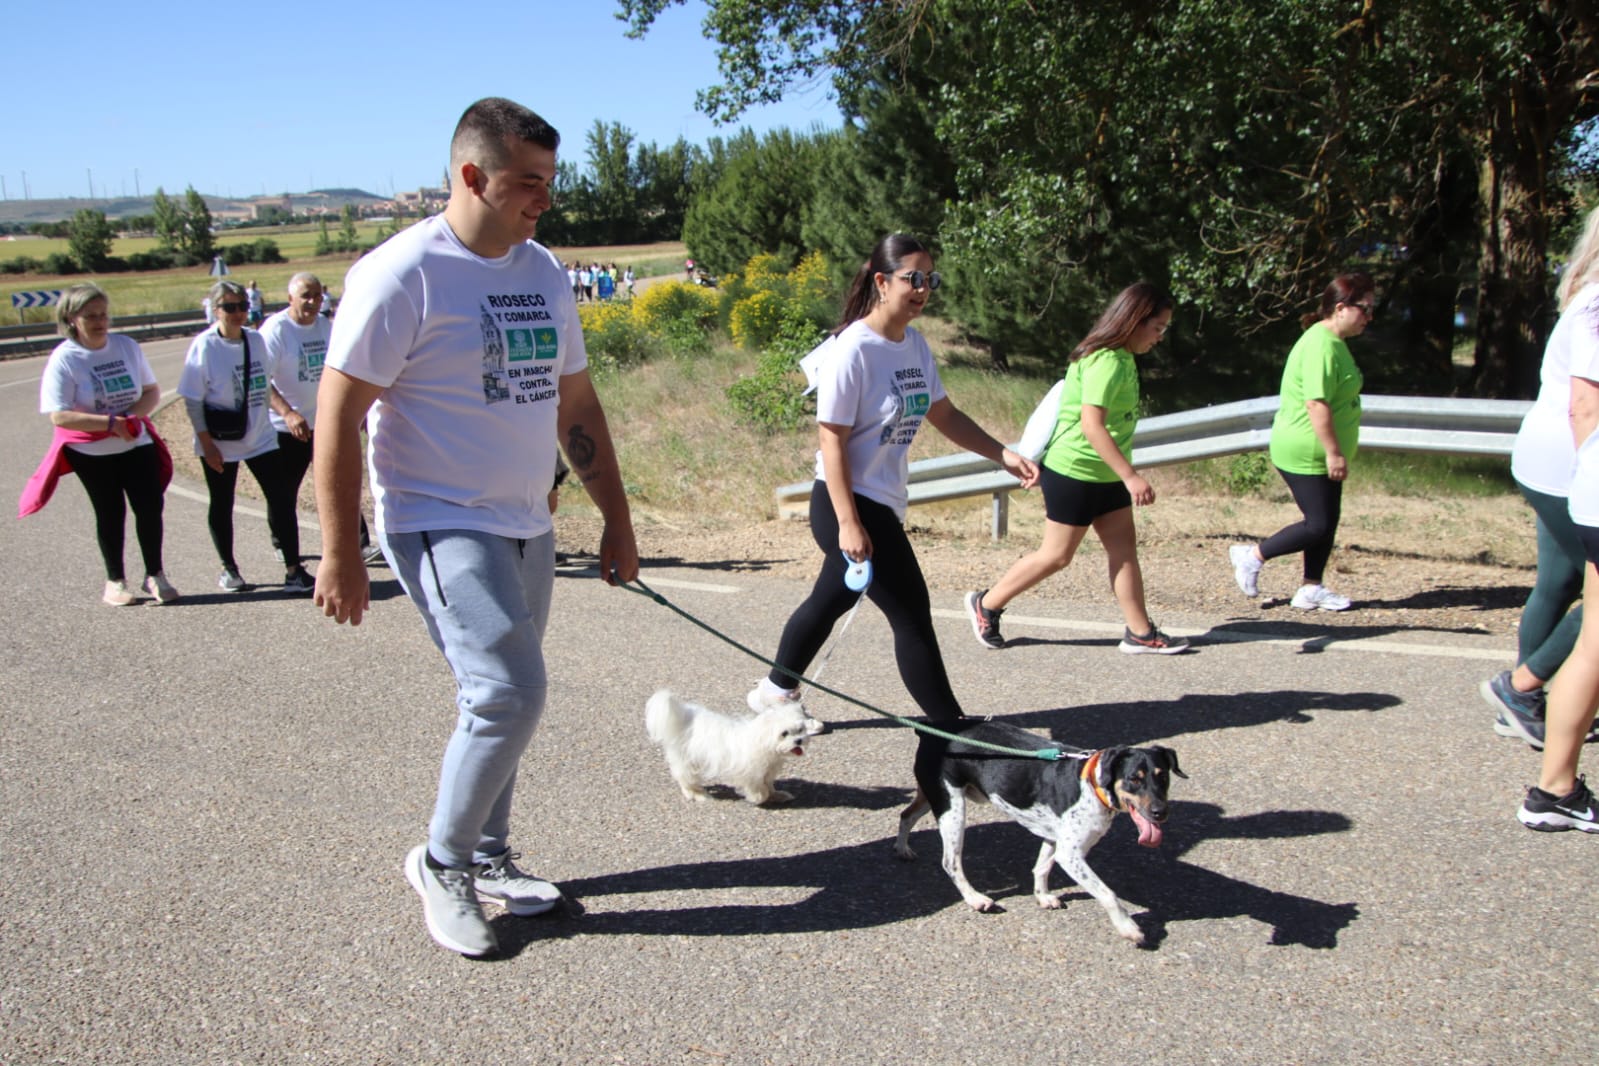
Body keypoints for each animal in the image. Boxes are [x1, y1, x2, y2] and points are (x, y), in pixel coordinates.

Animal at [639, 687, 805, 805]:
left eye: (800, 730)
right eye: (784, 733)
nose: (799, 741)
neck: (763, 741)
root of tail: (683, 718)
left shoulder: (767, 771)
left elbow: (769, 785)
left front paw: (777, 795)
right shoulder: (750, 773)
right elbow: (758, 789)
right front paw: (757, 798)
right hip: (687, 760)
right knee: (686, 779)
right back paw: (697, 794)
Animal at [901, 722, 1189, 946]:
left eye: (1163, 777)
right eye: (1134, 779)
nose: (1160, 812)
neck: (1092, 784)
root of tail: (931, 731)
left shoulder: (1056, 840)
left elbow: (1041, 868)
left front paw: (1042, 897)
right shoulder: (1071, 854)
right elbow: (1108, 893)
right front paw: (1128, 928)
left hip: (933, 795)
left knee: (905, 815)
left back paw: (902, 849)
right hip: (952, 808)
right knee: (950, 862)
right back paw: (975, 899)